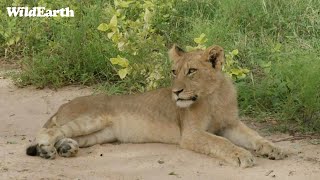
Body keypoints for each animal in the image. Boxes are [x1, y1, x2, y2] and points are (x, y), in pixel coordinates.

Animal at [26, 44, 286, 167]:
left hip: (99, 134)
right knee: (50, 130)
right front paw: (242, 156)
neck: (213, 96)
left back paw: (66, 149)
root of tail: (63, 105)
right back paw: (47, 150)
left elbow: (255, 136)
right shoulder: (191, 134)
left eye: (191, 71)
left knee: (64, 136)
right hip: (92, 119)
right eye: (174, 72)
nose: (176, 92)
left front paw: (274, 149)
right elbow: (221, 143)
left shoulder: (230, 124)